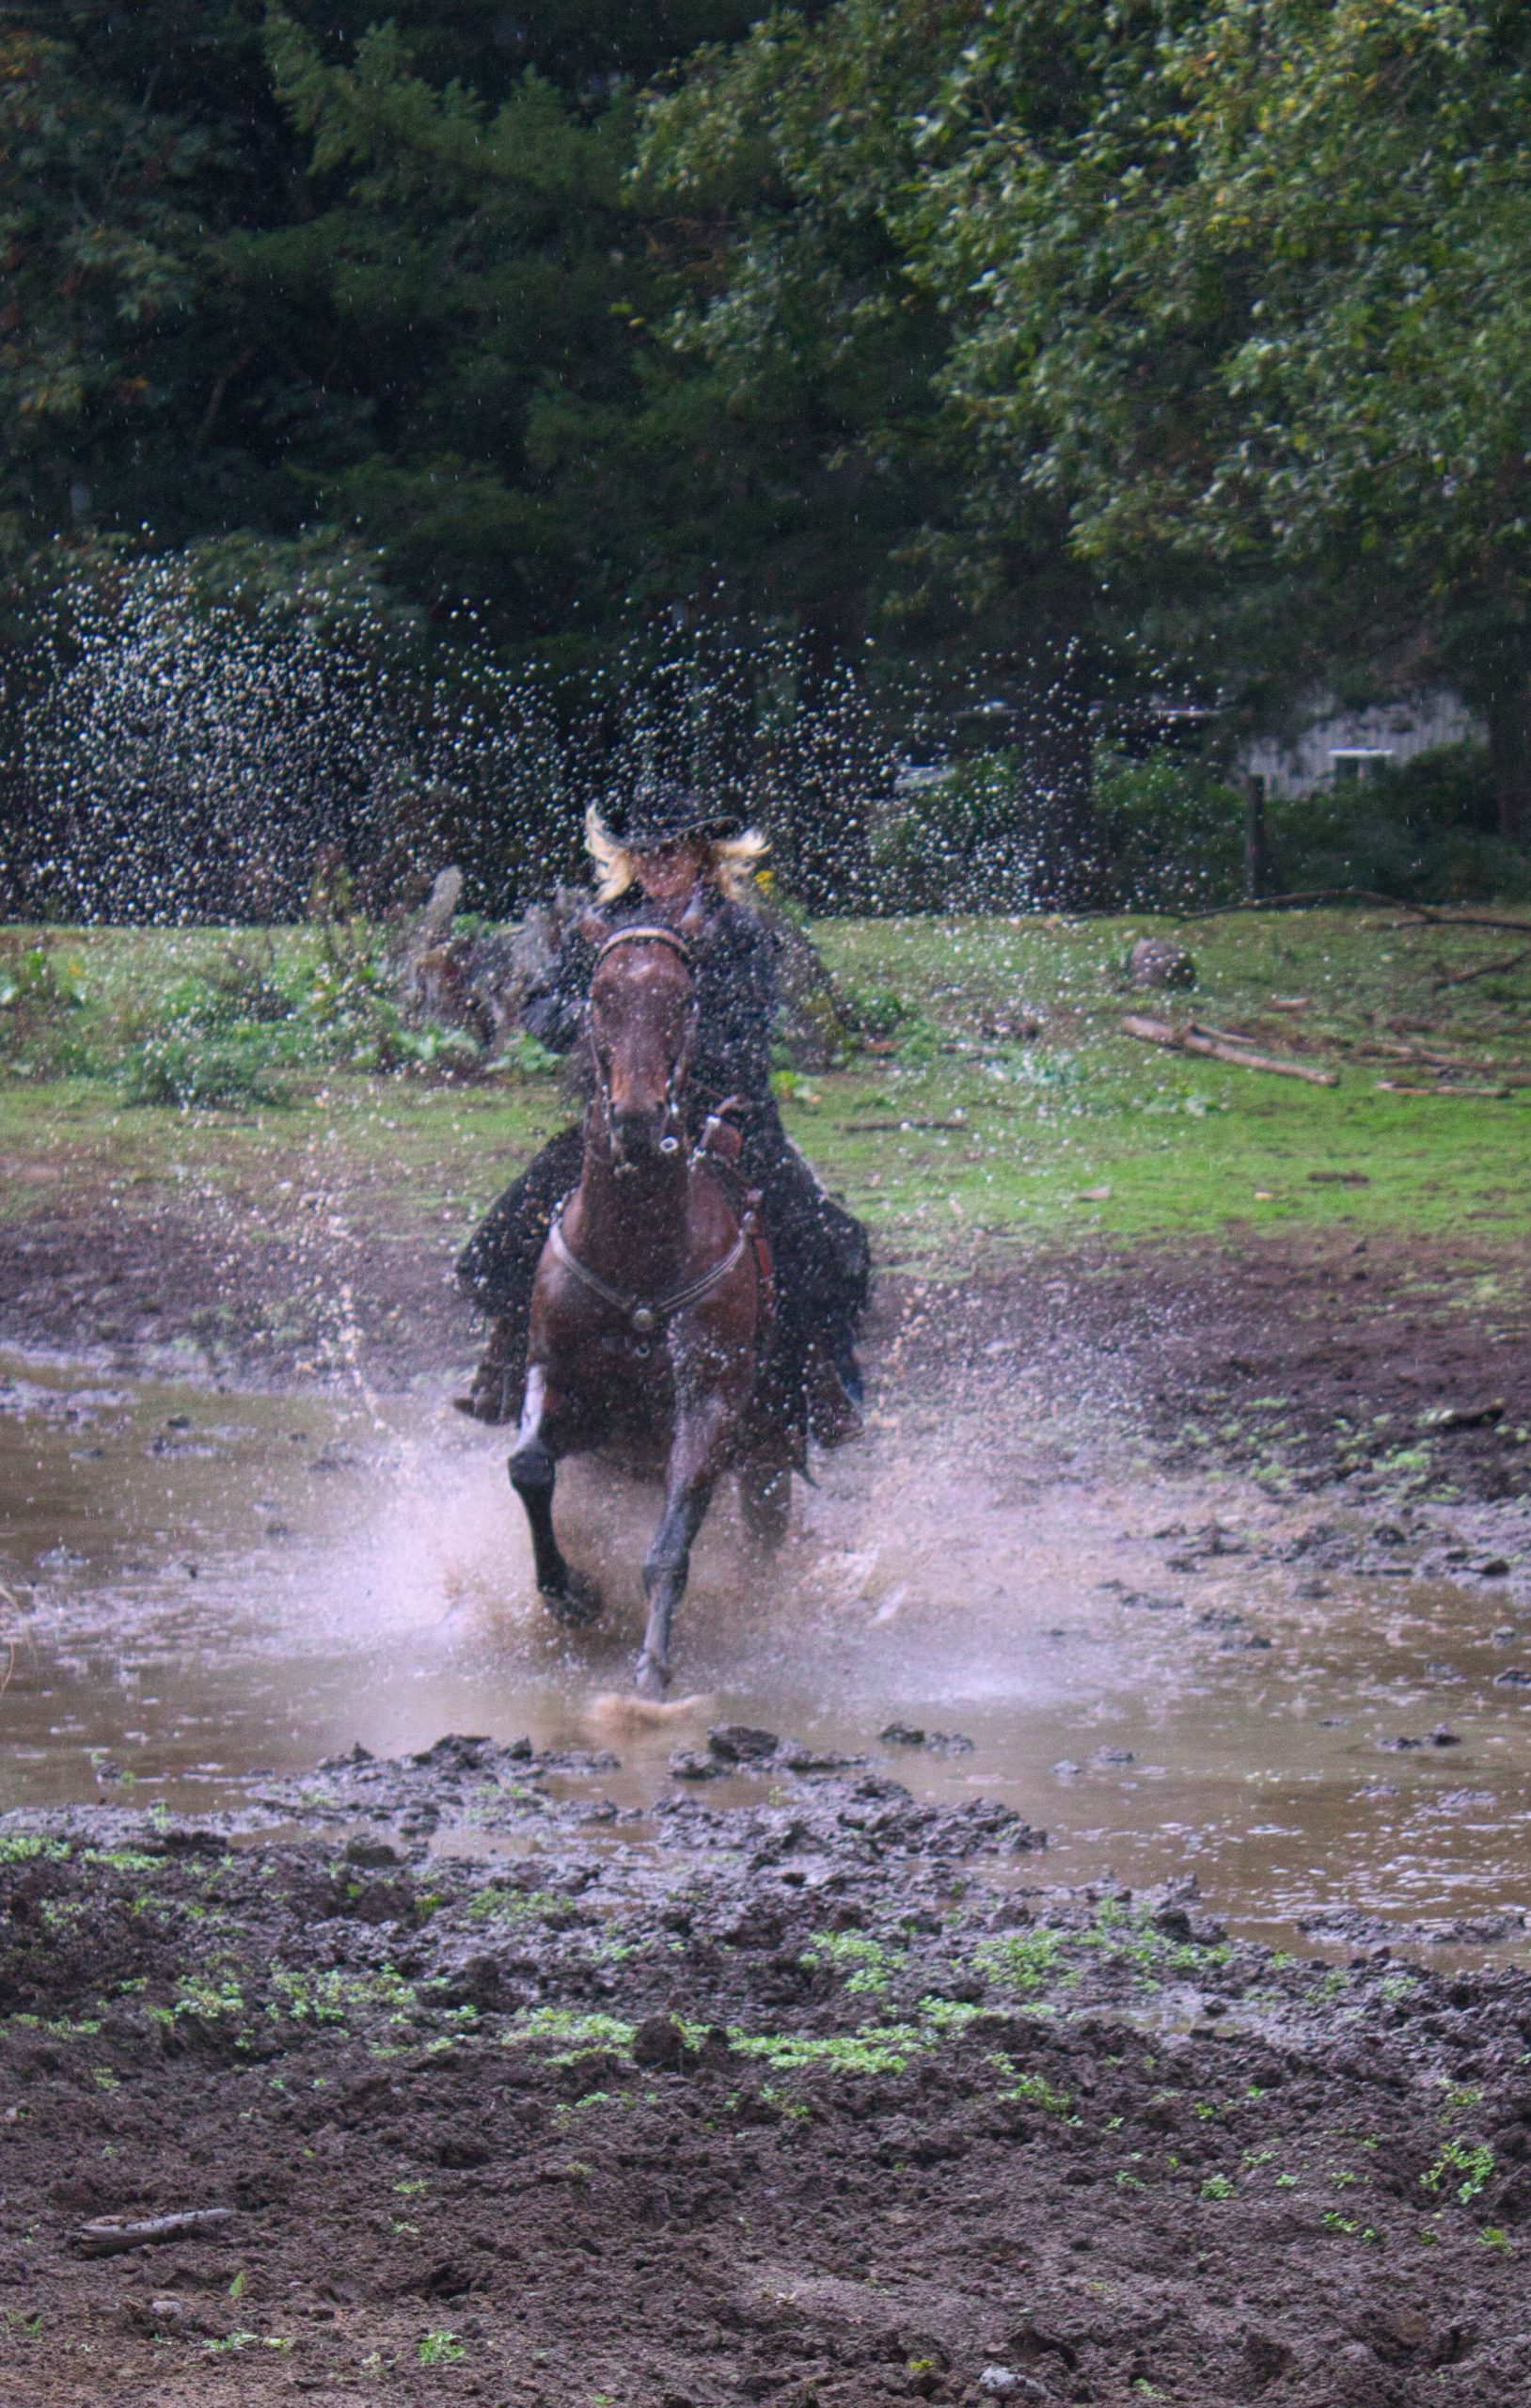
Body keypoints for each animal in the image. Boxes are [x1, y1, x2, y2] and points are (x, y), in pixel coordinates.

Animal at [508, 900, 789, 1695]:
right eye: (601, 996)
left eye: (683, 998)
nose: (636, 1119)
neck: (638, 1251)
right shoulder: (556, 1376)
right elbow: (529, 1469)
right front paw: (572, 1594)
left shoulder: (711, 1402)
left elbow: (669, 1542)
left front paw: (652, 1671)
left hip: (768, 1454)